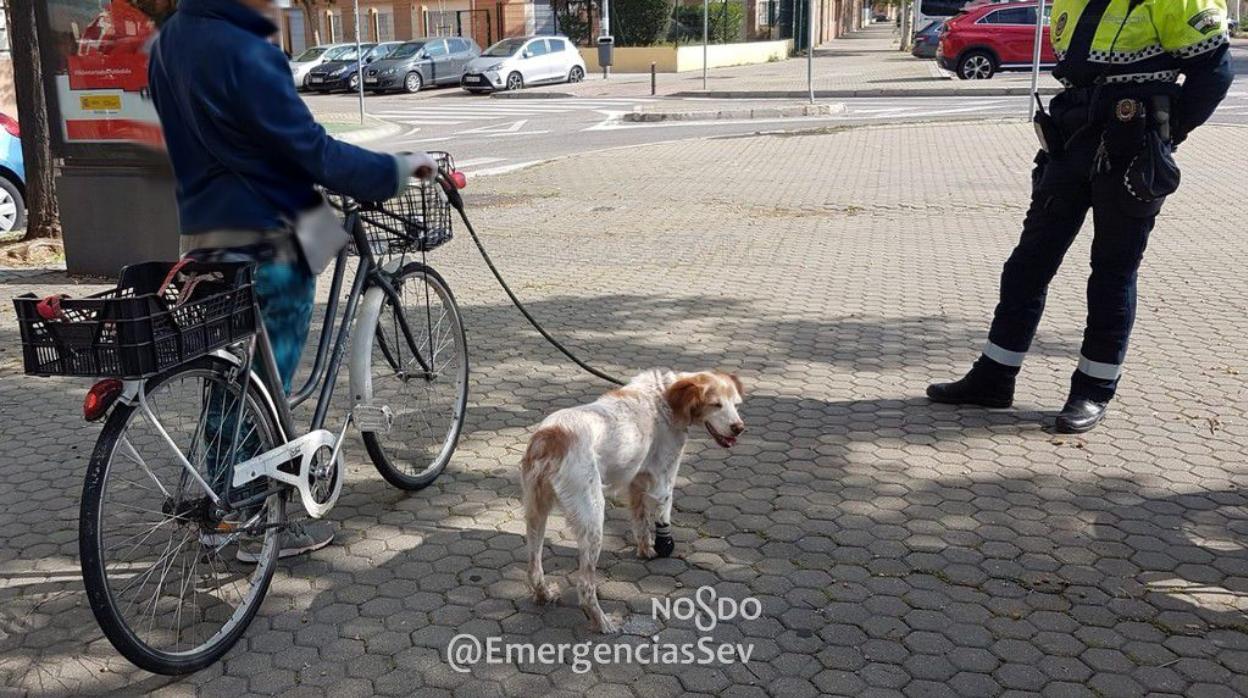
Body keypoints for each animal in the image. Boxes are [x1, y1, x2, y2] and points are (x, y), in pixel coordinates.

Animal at [519, 372, 743, 634]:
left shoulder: (637, 480)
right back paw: (603, 623)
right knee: (585, 586)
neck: (664, 396)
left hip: (536, 513)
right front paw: (665, 547)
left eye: (736, 404)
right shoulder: (663, 480)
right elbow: (662, 517)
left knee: (534, 568)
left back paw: (544, 594)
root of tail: (549, 436)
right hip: (593, 520)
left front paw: (645, 550)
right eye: (716, 405)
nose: (739, 428)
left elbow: (640, 522)